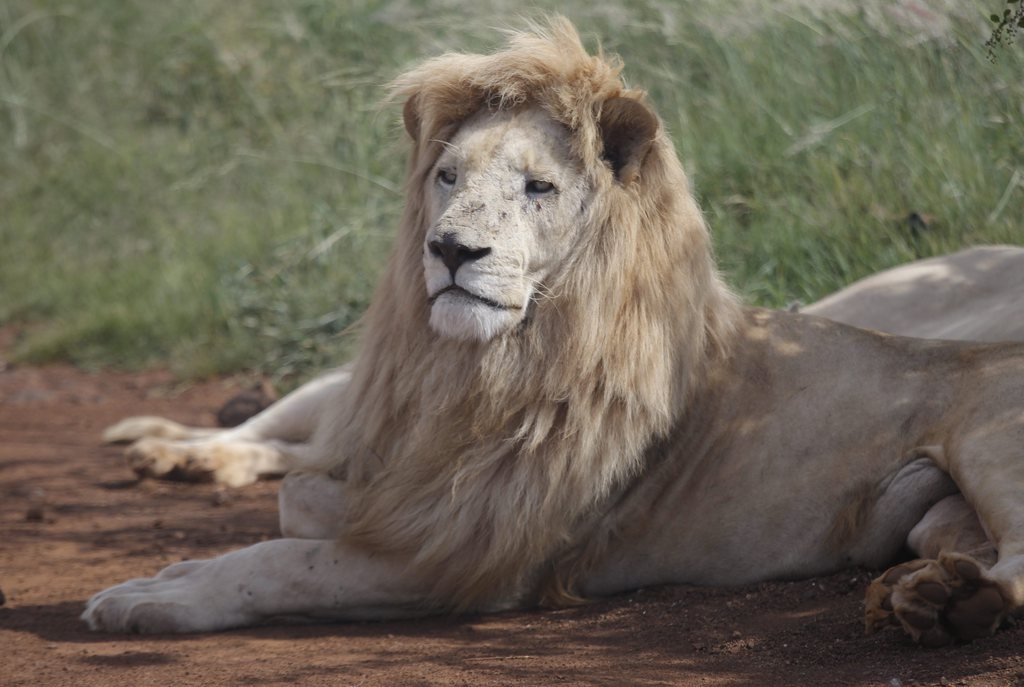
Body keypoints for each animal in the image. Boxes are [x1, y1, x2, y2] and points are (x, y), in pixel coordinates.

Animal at [83, 18, 1024, 647]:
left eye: (538, 187)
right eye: (447, 175)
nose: (451, 249)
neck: (485, 367)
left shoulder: (470, 554)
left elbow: (276, 560)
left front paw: (154, 593)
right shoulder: (398, 485)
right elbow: (294, 508)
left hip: (989, 443)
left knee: (1016, 572)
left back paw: (942, 603)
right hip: (938, 512)